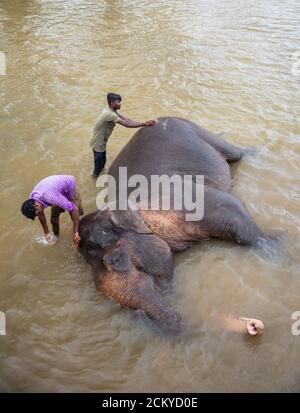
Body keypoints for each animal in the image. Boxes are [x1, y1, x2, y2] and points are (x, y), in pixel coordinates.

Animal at [78, 116, 268, 332]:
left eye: (116, 259)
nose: (253, 325)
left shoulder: (190, 200)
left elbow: (234, 207)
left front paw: (279, 246)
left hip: (199, 131)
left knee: (237, 153)